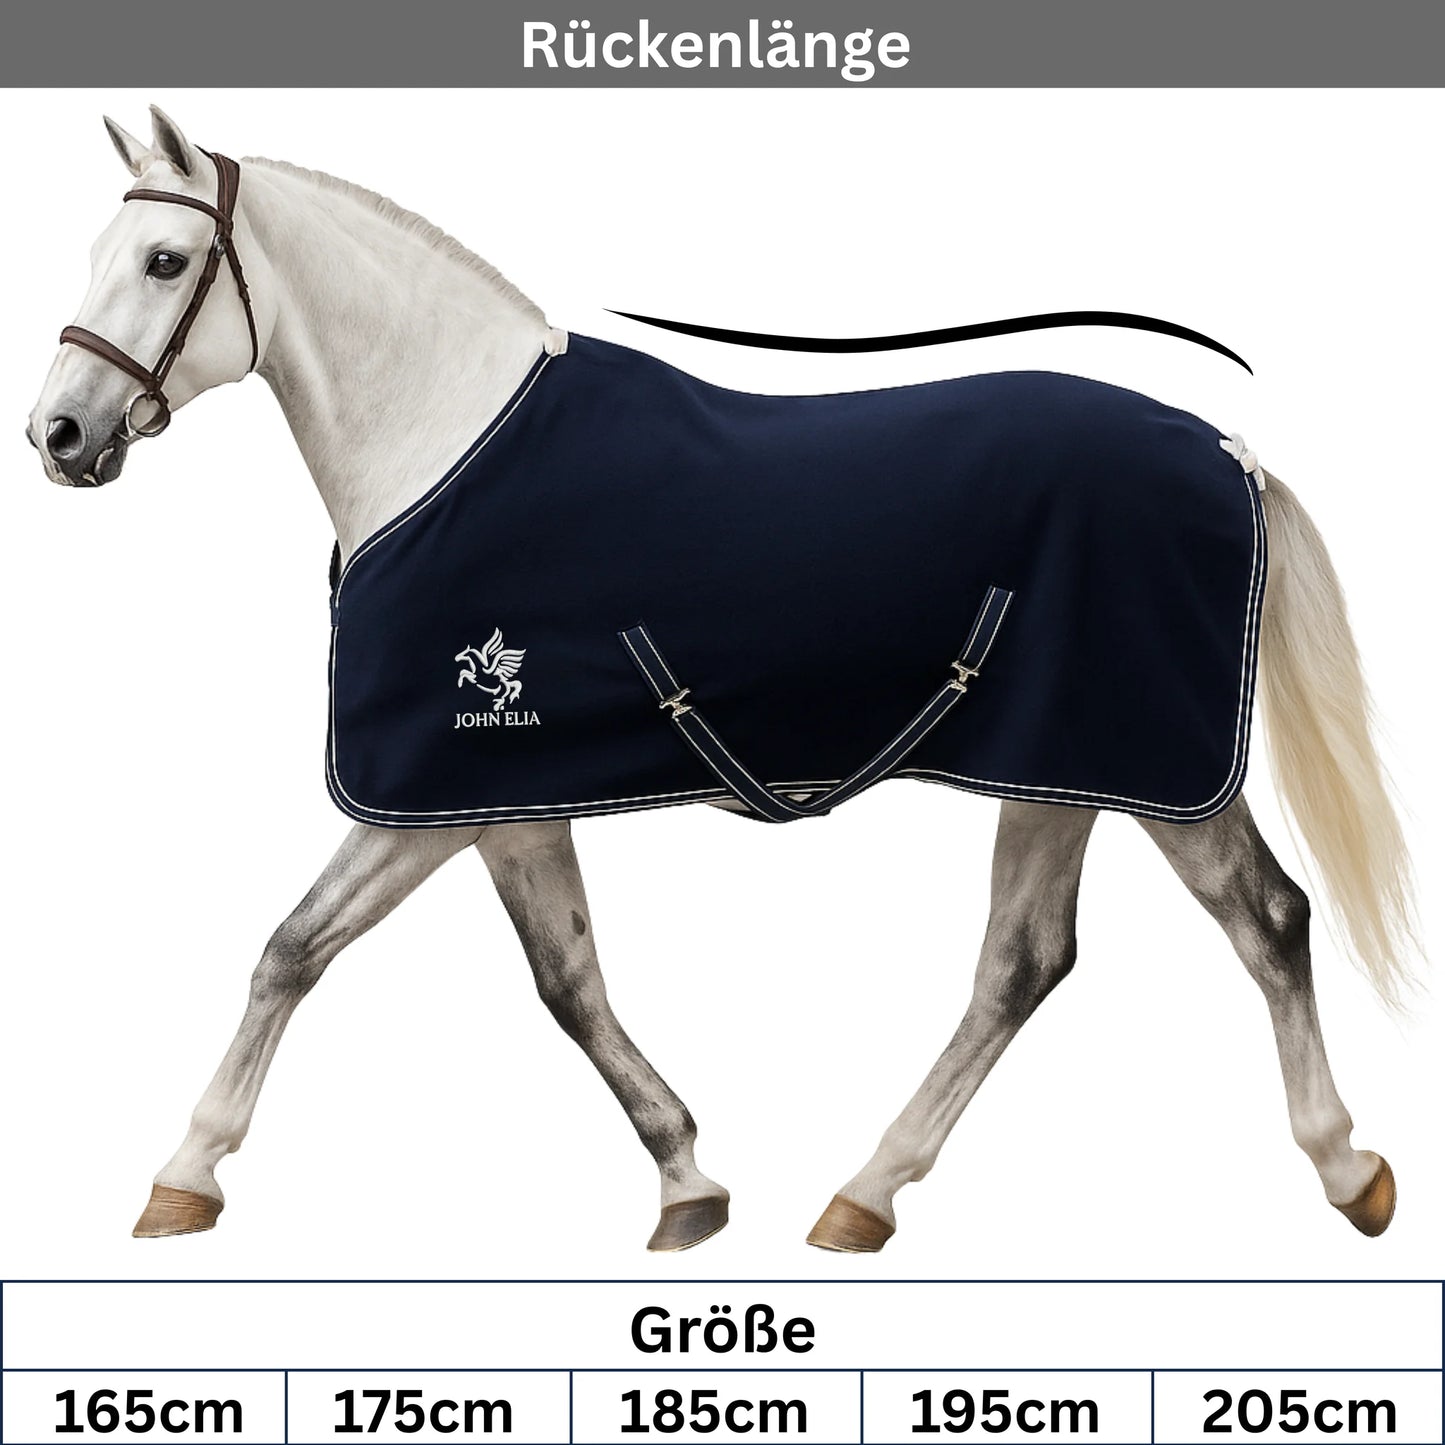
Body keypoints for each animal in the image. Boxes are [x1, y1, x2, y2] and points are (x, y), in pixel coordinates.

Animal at [27, 106, 1416, 1253]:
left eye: (164, 262)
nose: (59, 434)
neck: (446, 448)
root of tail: (1226, 452)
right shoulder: (498, 795)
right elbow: (559, 977)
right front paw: (687, 1182)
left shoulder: (445, 785)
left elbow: (295, 949)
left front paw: (184, 1172)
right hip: (1067, 768)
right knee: (1064, 954)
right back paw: (881, 1192)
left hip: (1134, 766)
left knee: (1227, 924)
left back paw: (1329, 1171)